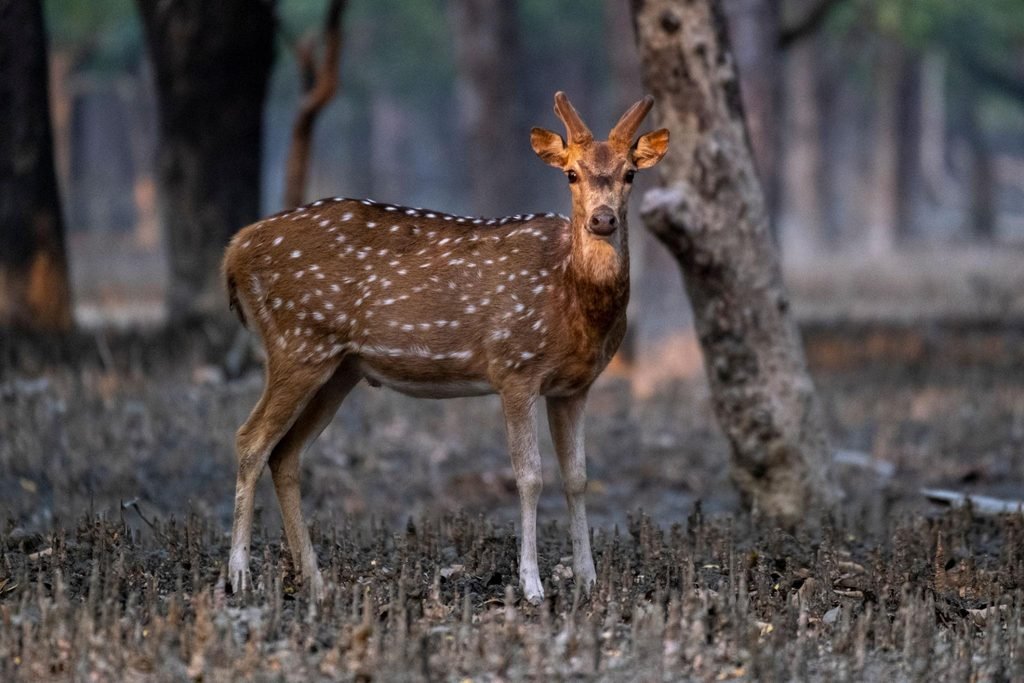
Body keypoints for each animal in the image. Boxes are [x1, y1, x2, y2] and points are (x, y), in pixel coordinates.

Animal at [222, 92, 669, 605]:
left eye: (630, 173)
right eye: (571, 173)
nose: (602, 219)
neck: (571, 299)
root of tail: (234, 250)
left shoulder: (574, 386)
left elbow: (577, 477)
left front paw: (589, 581)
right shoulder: (514, 366)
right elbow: (530, 477)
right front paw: (531, 585)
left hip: (339, 368)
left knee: (286, 454)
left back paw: (315, 581)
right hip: (296, 341)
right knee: (251, 440)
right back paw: (239, 576)